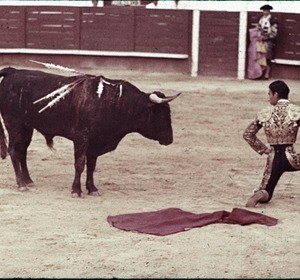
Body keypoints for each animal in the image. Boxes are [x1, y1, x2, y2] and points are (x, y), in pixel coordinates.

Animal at [0, 66, 180, 196]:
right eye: (160, 114)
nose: (170, 139)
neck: (114, 102)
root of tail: (12, 71)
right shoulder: (82, 138)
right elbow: (80, 163)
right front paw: (76, 190)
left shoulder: (95, 141)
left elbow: (92, 165)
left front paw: (92, 189)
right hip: (14, 125)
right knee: (14, 151)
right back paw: (21, 184)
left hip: (26, 127)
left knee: (22, 151)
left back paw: (28, 180)